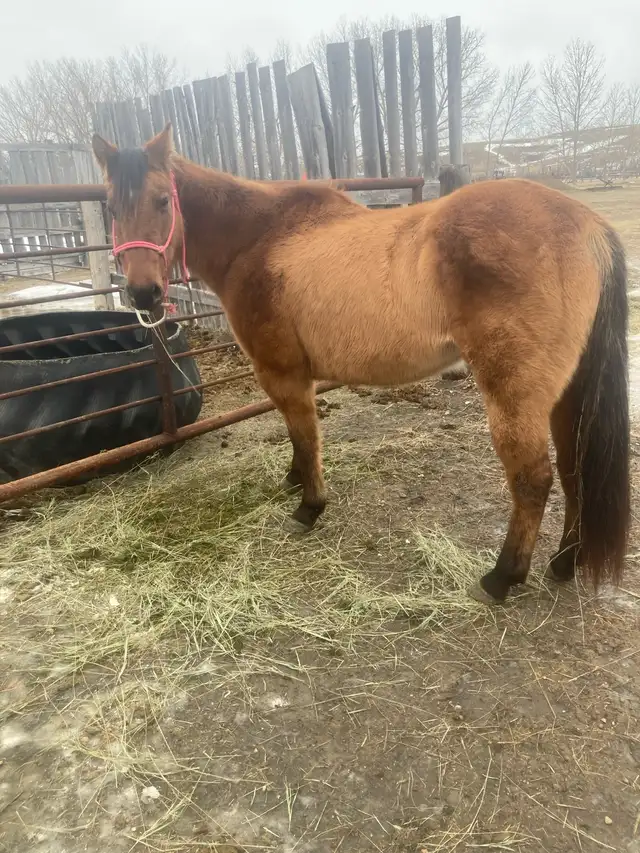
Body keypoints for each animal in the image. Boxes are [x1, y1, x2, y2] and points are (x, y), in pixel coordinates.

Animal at [92, 124, 630, 606]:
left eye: (162, 201)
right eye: (112, 209)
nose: (143, 294)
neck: (259, 238)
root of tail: (590, 228)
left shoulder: (282, 372)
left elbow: (306, 436)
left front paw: (309, 507)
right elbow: (298, 438)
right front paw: (294, 479)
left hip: (515, 394)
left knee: (534, 478)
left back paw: (502, 578)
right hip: (566, 395)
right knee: (574, 469)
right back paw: (564, 561)